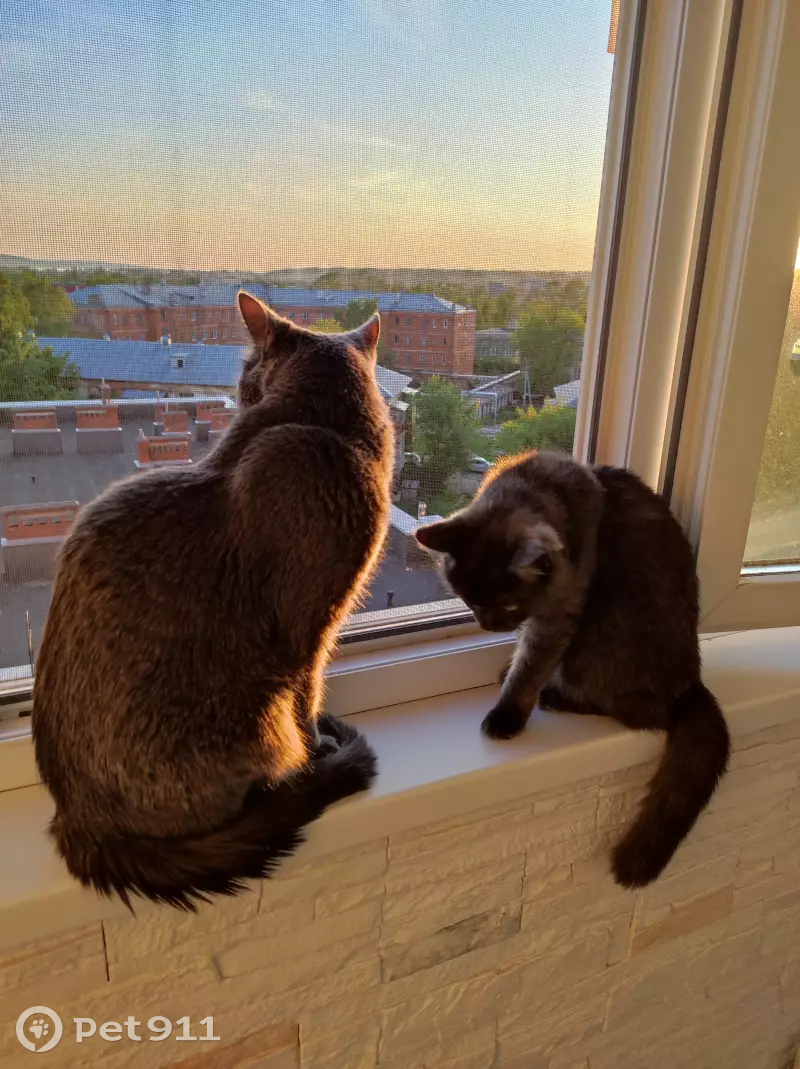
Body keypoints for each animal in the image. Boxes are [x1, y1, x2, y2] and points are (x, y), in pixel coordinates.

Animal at [33, 292, 395, 910]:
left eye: (246, 370)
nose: (238, 386)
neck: (313, 420)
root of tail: (75, 820)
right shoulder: (314, 630)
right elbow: (308, 695)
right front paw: (320, 747)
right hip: (258, 720)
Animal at [415, 450, 730, 888]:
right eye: (470, 601)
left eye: (509, 603)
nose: (489, 625)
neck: (536, 484)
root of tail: (691, 686)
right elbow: (522, 656)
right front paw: (508, 668)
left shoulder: (559, 615)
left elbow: (529, 669)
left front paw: (508, 712)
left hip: (600, 638)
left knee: (642, 714)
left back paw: (556, 696)